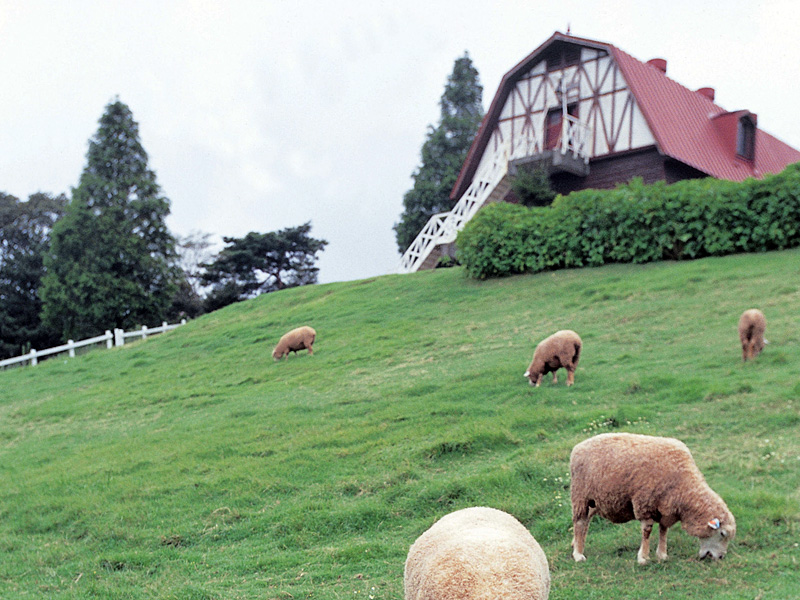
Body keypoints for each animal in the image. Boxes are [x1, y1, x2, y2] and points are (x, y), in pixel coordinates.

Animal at [572, 434, 736, 564]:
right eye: (722, 533)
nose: (721, 557)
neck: (683, 486)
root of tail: (578, 446)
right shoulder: (645, 503)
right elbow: (647, 531)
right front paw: (643, 557)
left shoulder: (666, 509)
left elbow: (663, 530)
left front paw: (662, 554)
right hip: (581, 496)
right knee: (579, 522)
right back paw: (578, 554)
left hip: (595, 502)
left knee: (586, 522)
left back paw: (575, 544)